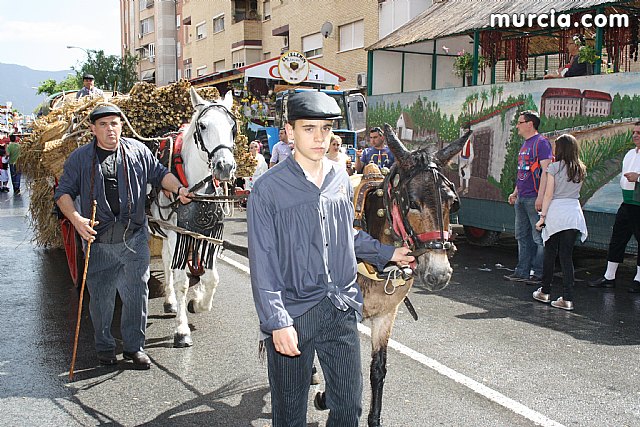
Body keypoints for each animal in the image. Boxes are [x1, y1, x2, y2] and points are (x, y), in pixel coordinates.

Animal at [151, 87, 236, 348]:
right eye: (203, 125)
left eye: (232, 126)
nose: (225, 166)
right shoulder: (177, 233)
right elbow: (182, 282)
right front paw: (181, 329)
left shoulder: (207, 235)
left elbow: (211, 278)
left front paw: (198, 303)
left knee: (166, 259)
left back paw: (170, 301)